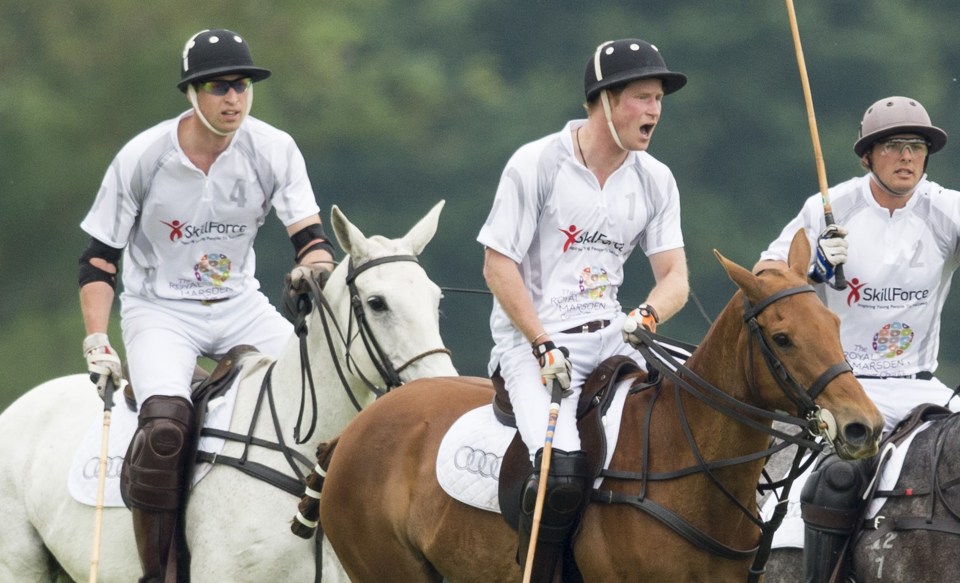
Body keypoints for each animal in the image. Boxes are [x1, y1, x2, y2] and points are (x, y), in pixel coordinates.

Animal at [312, 230, 880, 580]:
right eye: (783, 338)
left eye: (834, 324)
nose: (863, 427)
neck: (687, 464)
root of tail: (351, 432)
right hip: (385, 567)